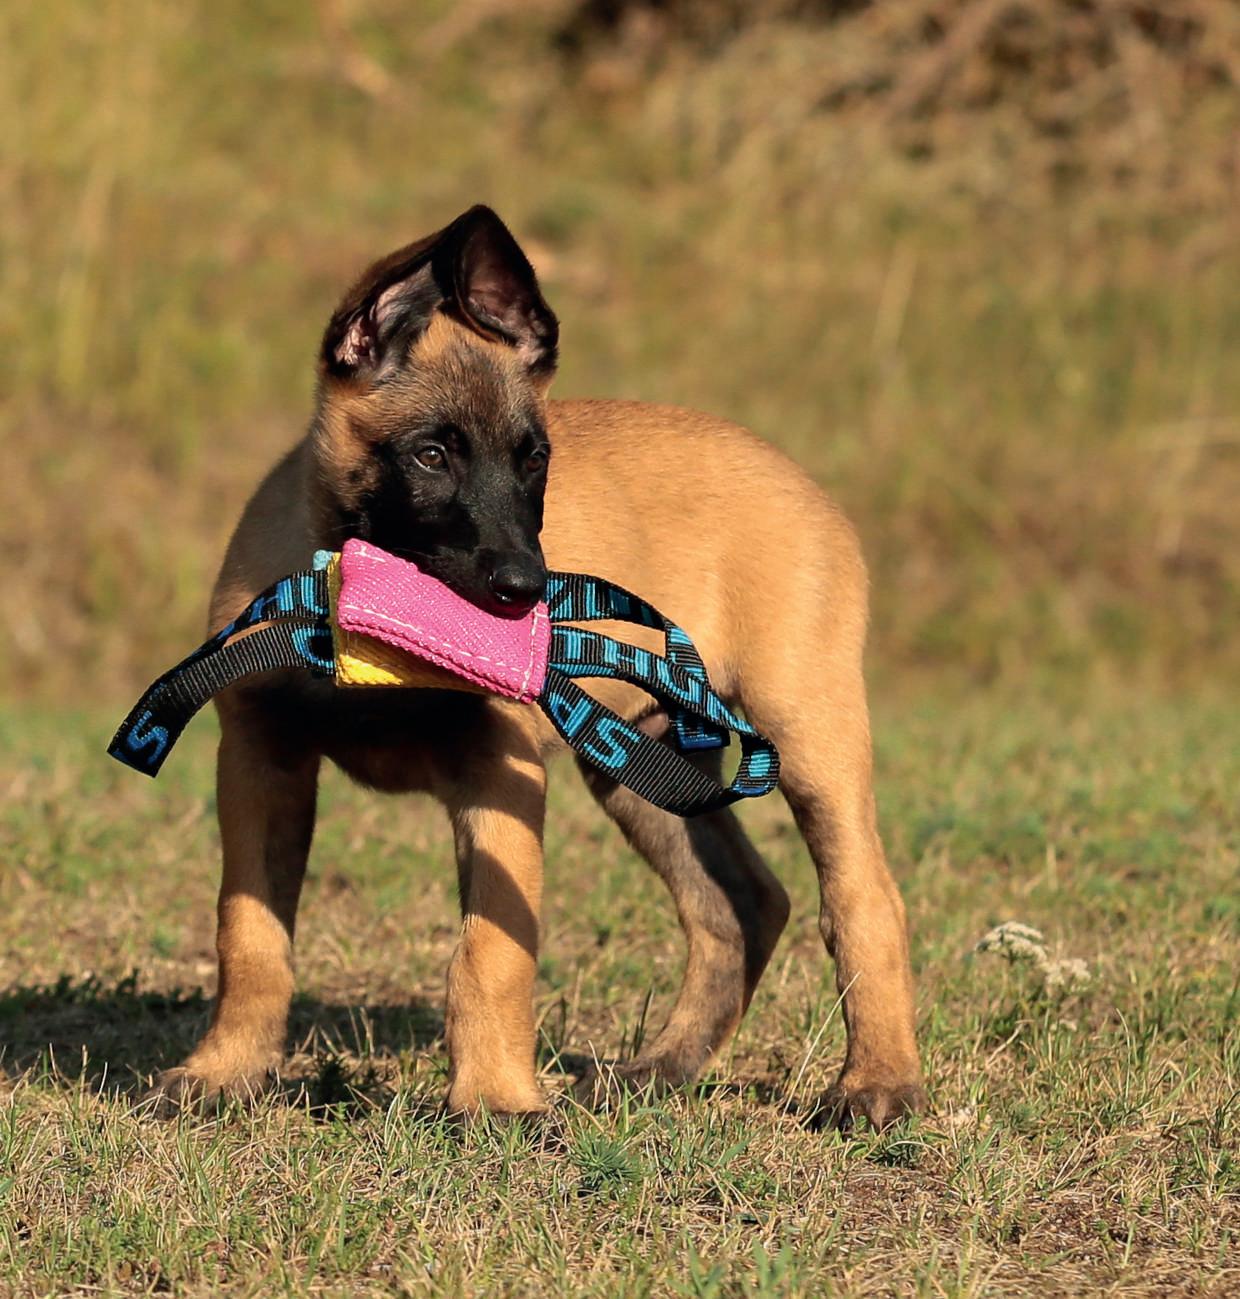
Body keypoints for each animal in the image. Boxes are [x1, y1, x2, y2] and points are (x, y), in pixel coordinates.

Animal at [142, 202, 919, 1127]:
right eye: (431, 455)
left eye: (535, 460)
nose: (526, 589)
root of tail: (807, 486)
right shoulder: (263, 759)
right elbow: (249, 934)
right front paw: (225, 1071)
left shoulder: (499, 769)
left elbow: (490, 954)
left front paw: (497, 1099)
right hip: (639, 762)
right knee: (742, 905)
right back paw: (660, 1068)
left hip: (806, 734)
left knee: (863, 899)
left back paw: (877, 1082)